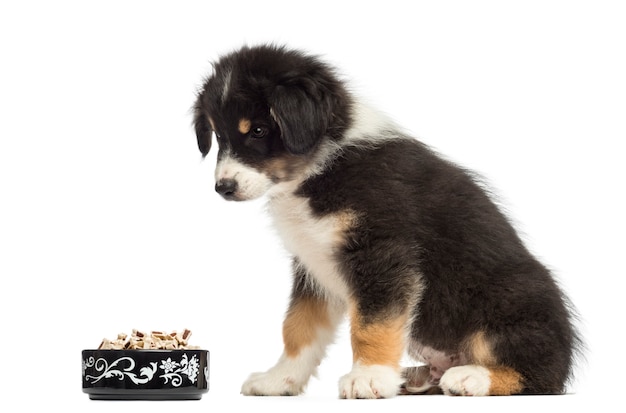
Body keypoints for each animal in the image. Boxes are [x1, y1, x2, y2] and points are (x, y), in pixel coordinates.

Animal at [191, 44, 580, 396]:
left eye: (258, 130)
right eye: (219, 135)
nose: (223, 188)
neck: (320, 169)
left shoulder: (381, 254)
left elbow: (371, 324)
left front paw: (368, 377)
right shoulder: (312, 265)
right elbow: (299, 326)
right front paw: (280, 380)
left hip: (510, 300)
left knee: (543, 374)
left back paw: (471, 377)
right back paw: (416, 377)